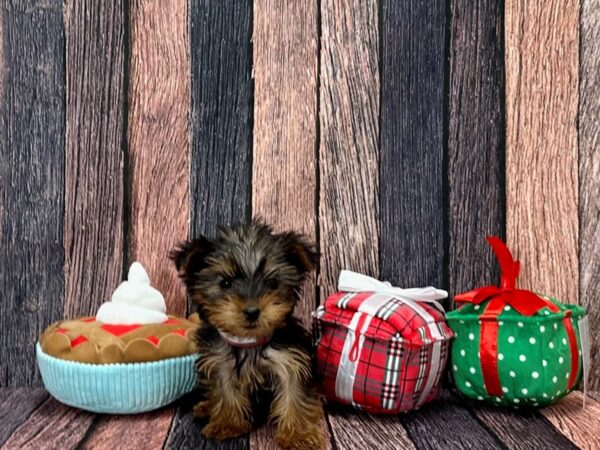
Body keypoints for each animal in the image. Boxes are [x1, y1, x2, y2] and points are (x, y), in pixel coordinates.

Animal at [169, 220, 326, 448]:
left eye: (272, 283)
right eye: (225, 283)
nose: (252, 311)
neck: (249, 342)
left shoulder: (290, 360)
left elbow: (294, 394)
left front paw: (299, 435)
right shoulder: (220, 363)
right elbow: (225, 392)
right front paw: (227, 424)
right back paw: (206, 407)